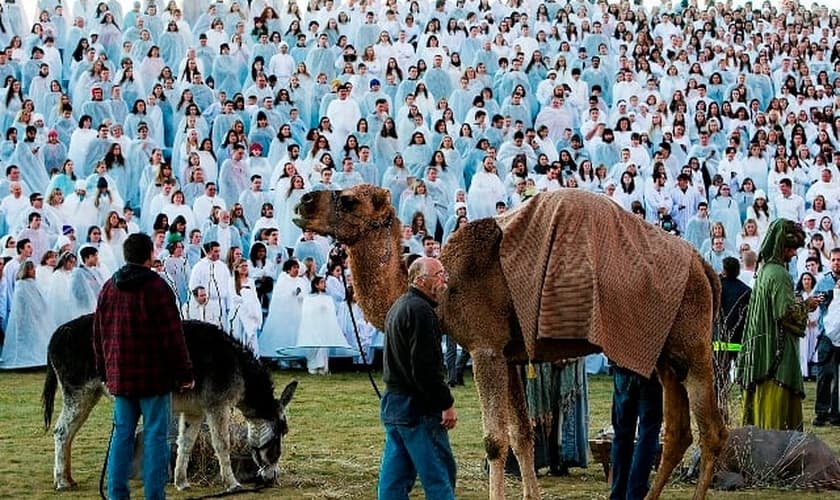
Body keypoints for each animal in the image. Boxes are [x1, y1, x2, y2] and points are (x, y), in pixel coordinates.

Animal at [296, 186, 728, 498]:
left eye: (348, 200)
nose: (303, 201)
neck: (447, 289)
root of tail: (703, 265)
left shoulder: (484, 348)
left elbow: (494, 441)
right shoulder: (510, 357)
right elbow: (523, 437)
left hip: (693, 344)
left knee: (712, 431)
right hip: (664, 353)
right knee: (677, 432)